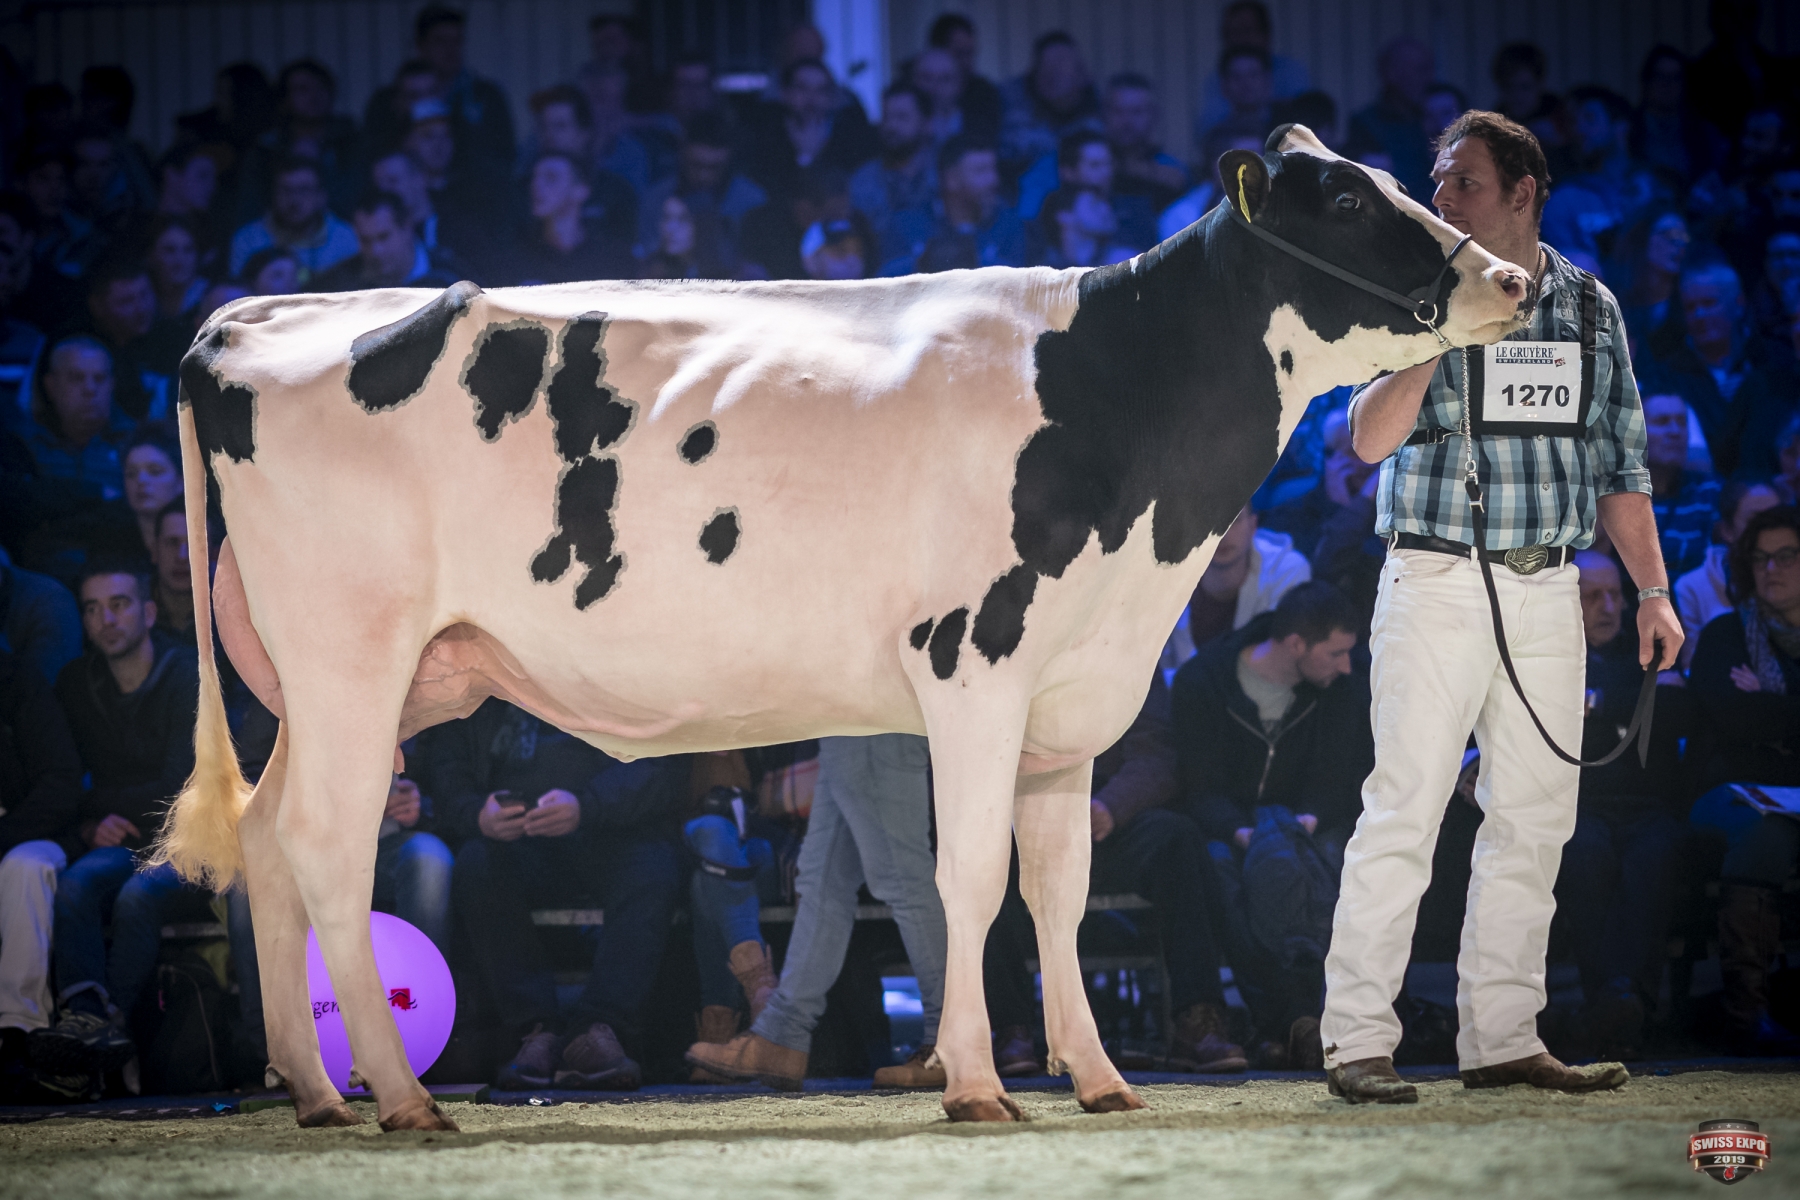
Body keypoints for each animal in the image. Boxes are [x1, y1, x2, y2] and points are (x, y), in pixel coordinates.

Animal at [156, 126, 1529, 1131]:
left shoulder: (1073, 693)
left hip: (348, 680)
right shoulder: (973, 660)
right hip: (351, 655)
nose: (1513, 278)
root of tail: (240, 321)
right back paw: (401, 1098)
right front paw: (976, 1086)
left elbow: (1061, 891)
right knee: (330, 846)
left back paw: (319, 1094)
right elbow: (971, 880)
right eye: (1343, 200)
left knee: (269, 837)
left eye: (1407, 182)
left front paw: (1098, 1080)